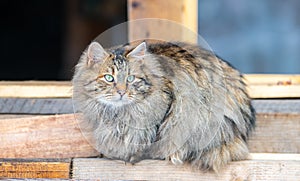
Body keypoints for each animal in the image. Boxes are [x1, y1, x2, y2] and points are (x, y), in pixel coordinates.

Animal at [71, 40, 254, 173]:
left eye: (130, 79)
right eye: (109, 78)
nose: (122, 92)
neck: (118, 113)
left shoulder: (165, 111)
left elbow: (148, 140)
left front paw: (134, 156)